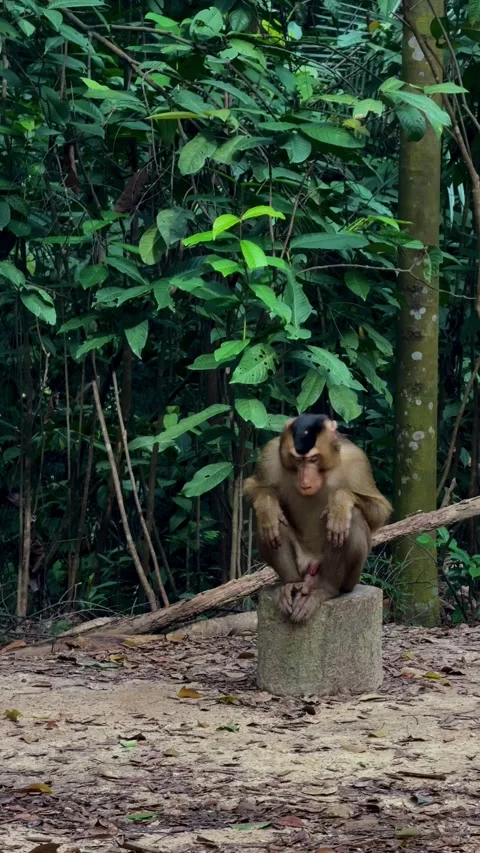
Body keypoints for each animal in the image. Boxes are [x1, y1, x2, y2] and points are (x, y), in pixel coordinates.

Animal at [243, 414, 392, 623]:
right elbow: (253, 487)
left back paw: (325, 589)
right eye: (298, 460)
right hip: (302, 565)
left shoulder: (357, 460)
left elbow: (379, 510)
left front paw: (339, 502)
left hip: (350, 578)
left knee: (352, 519)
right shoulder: (271, 453)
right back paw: (290, 583)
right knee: (270, 526)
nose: (305, 481)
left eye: (313, 459)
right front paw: (268, 506)